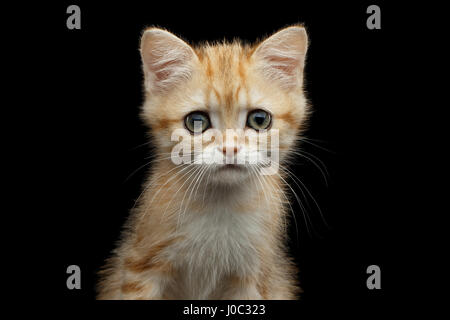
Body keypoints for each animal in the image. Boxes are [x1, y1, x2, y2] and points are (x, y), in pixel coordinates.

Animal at [97, 25, 310, 300]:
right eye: (196, 122)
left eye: (260, 120)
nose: (230, 149)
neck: (221, 204)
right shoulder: (139, 269)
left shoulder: (253, 279)